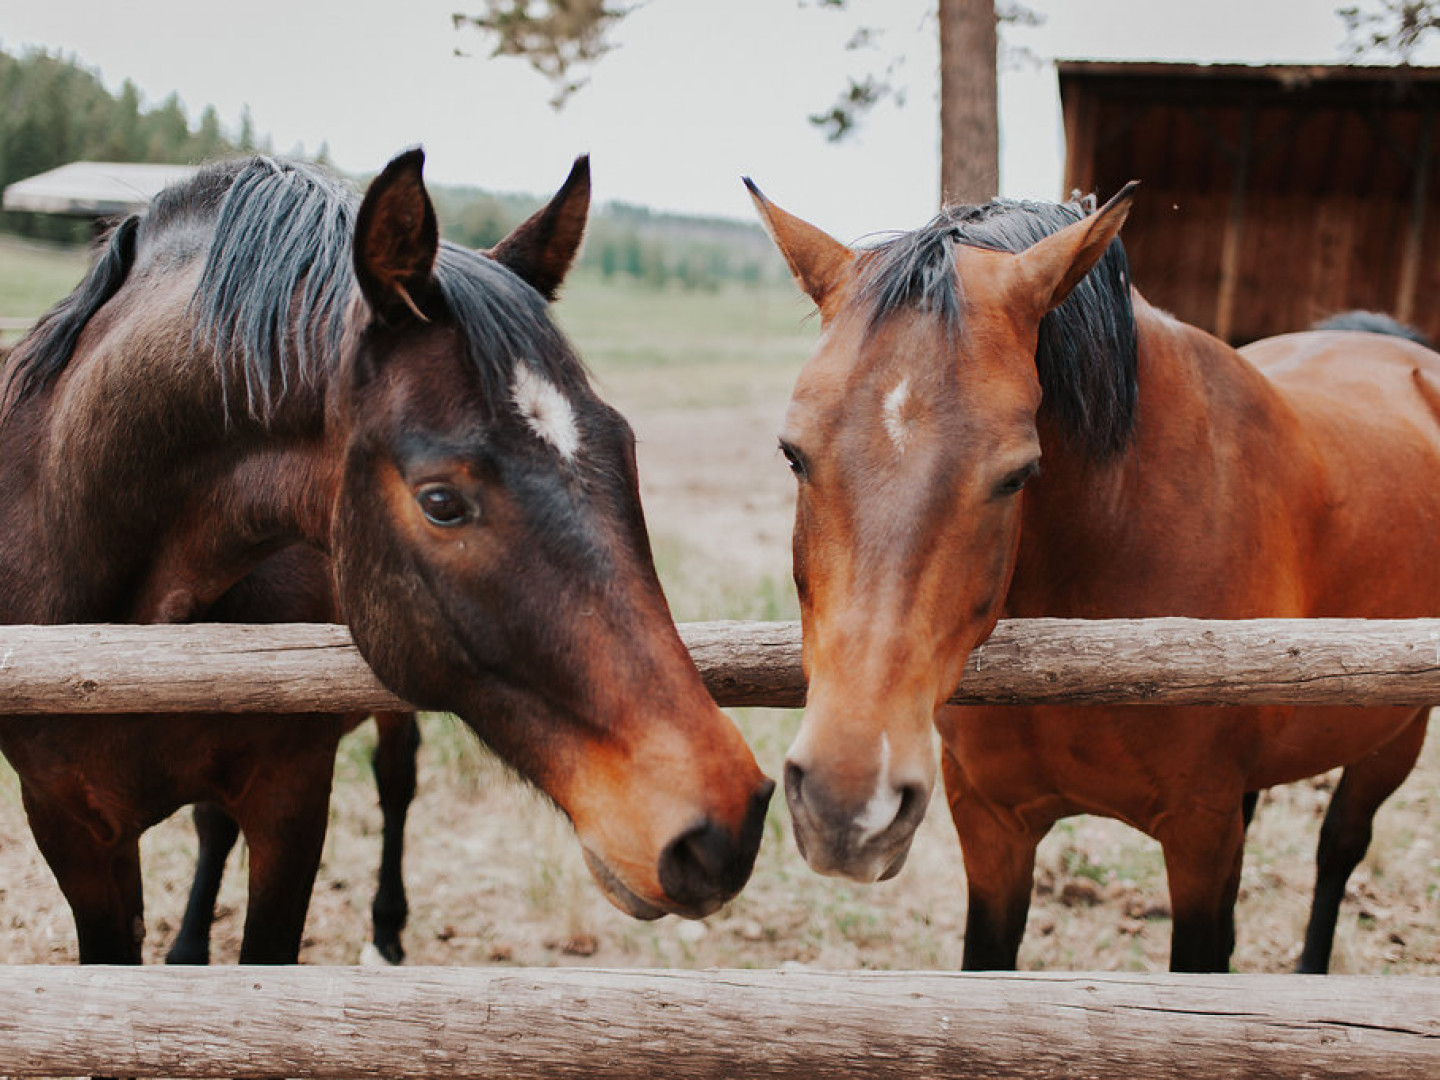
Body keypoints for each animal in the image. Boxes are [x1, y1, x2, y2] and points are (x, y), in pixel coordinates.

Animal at [0, 150, 771, 961]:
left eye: (623, 448)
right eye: (440, 502)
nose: (723, 822)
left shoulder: (292, 801)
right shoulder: (69, 829)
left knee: (393, 782)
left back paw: (386, 929)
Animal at [748, 182, 1440, 979]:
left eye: (1017, 473)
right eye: (792, 452)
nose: (847, 807)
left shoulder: (1200, 831)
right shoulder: (991, 822)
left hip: (1395, 735)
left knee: (1340, 848)